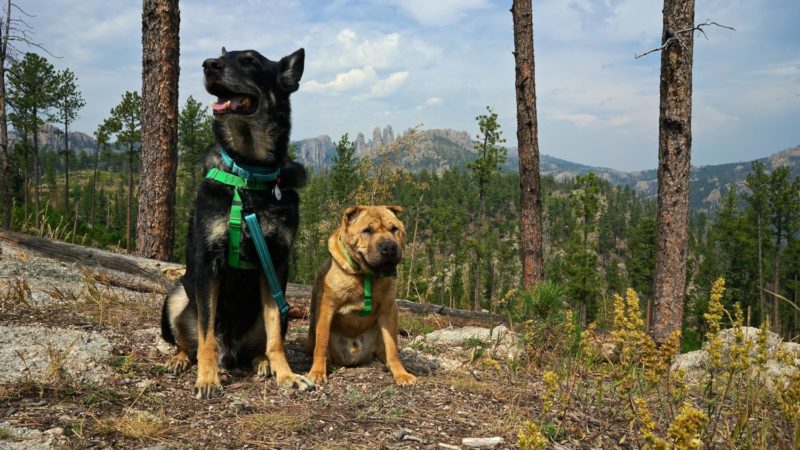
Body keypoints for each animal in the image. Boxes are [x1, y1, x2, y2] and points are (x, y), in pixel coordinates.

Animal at [161, 46, 314, 398]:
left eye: (250, 61)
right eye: (223, 56)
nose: (208, 65)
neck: (248, 174)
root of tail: (229, 349)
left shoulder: (276, 265)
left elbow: (275, 337)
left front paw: (286, 373)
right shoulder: (207, 264)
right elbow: (204, 334)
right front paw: (207, 378)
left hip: (280, 304)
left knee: (263, 340)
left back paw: (263, 362)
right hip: (176, 296)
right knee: (188, 341)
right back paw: (181, 359)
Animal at [304, 206, 418, 384]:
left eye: (394, 229)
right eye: (367, 231)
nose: (389, 247)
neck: (366, 276)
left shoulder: (388, 309)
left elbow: (392, 346)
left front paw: (401, 373)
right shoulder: (327, 307)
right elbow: (321, 342)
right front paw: (317, 372)